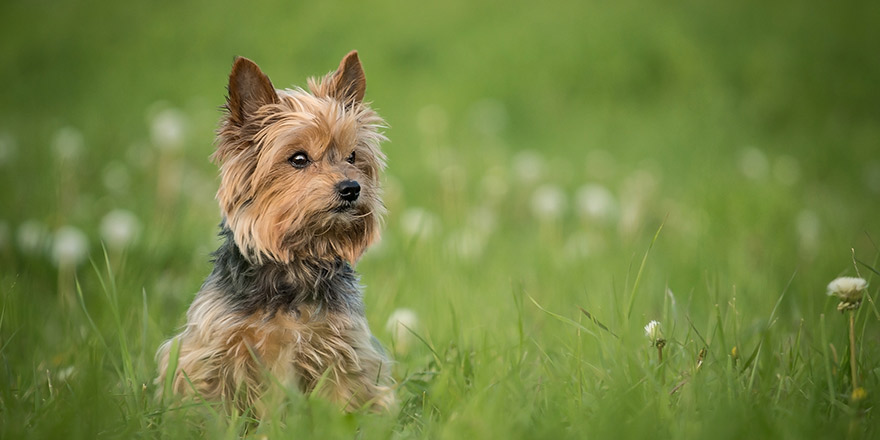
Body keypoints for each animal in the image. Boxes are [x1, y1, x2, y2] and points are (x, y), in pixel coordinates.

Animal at [156, 51, 396, 416]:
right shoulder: (211, 353)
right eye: (298, 159)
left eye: (353, 156)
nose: (352, 188)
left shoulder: (342, 350)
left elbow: (342, 402)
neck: (296, 263)